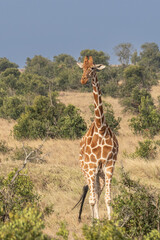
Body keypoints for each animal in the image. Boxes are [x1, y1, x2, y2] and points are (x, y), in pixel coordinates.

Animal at [75, 55, 118, 221]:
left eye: (92, 68)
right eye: (82, 68)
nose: (83, 79)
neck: (100, 128)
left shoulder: (109, 165)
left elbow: (108, 198)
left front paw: (111, 222)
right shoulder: (92, 166)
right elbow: (92, 199)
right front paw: (95, 223)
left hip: (100, 173)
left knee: (98, 193)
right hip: (86, 170)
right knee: (91, 195)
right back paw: (94, 220)